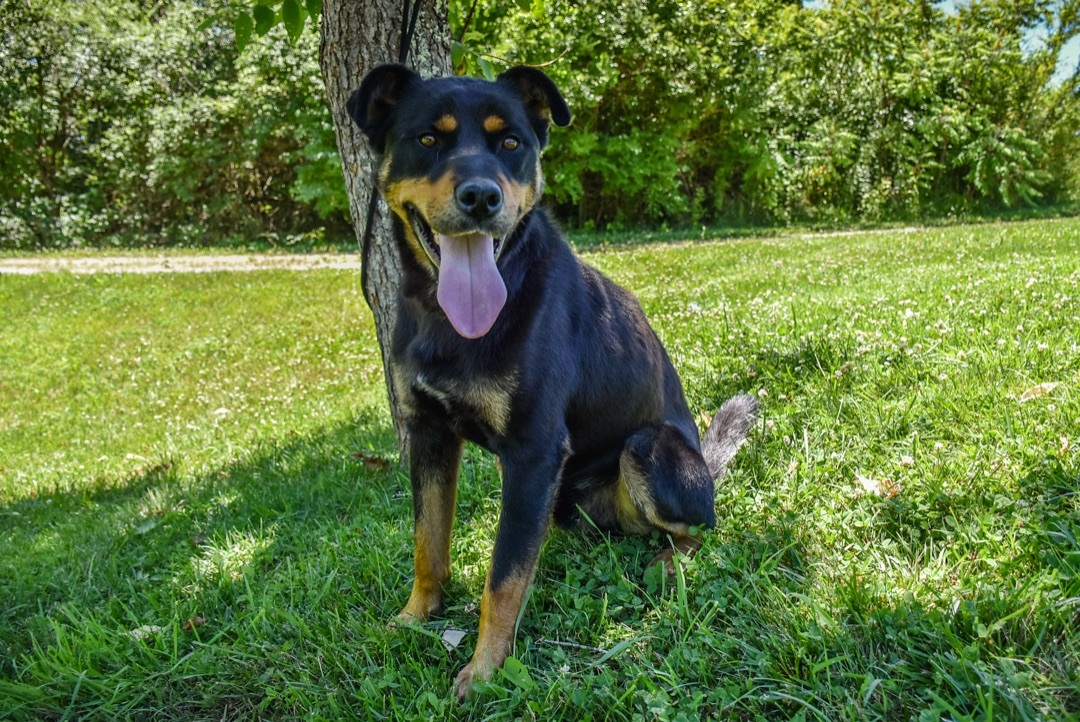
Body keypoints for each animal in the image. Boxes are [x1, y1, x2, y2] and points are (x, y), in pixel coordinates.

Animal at [349, 63, 756, 699]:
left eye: (511, 144)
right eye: (428, 139)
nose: (481, 197)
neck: (450, 319)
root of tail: (704, 466)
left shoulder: (534, 451)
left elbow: (502, 578)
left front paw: (484, 670)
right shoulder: (430, 435)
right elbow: (427, 542)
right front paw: (416, 617)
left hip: (646, 450)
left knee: (701, 528)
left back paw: (668, 562)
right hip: (565, 498)